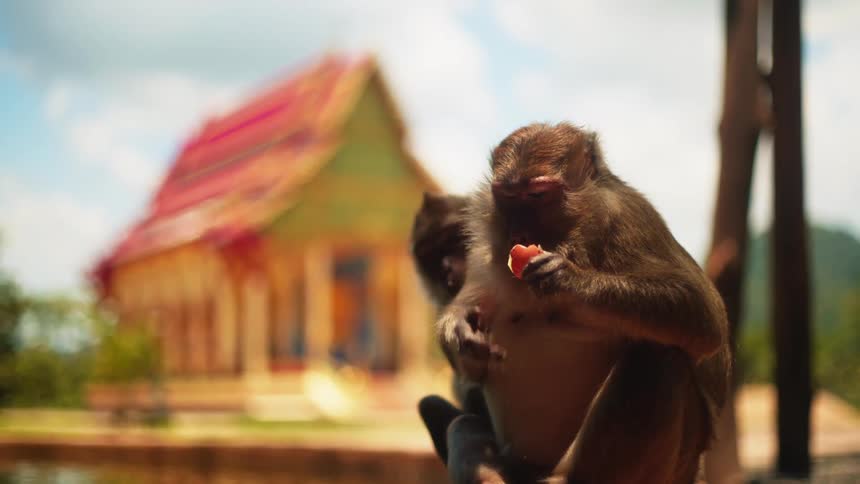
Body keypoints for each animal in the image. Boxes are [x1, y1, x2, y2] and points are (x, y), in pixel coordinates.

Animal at [436, 122, 731, 483]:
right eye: (507, 197)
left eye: (538, 195)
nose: (519, 236)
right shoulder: (484, 255)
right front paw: (461, 331)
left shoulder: (630, 218)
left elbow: (705, 319)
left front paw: (566, 277)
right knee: (462, 424)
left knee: (660, 358)